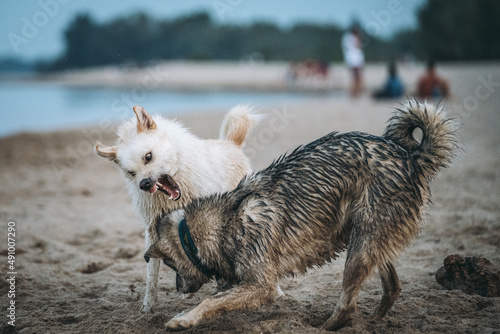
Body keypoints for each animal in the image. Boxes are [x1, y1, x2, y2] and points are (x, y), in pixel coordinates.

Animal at [94, 105, 258, 312]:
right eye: (131, 173)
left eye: (148, 157)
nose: (144, 184)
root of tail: (231, 143)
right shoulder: (153, 232)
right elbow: (152, 272)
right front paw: (148, 306)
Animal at [145, 100, 460, 330]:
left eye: (171, 265)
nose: (179, 290)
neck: (223, 222)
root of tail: (411, 158)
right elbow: (218, 298)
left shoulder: (261, 284)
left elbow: (210, 302)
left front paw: (184, 318)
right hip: (370, 239)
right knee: (392, 286)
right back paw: (372, 321)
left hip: (360, 248)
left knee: (348, 305)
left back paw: (327, 326)